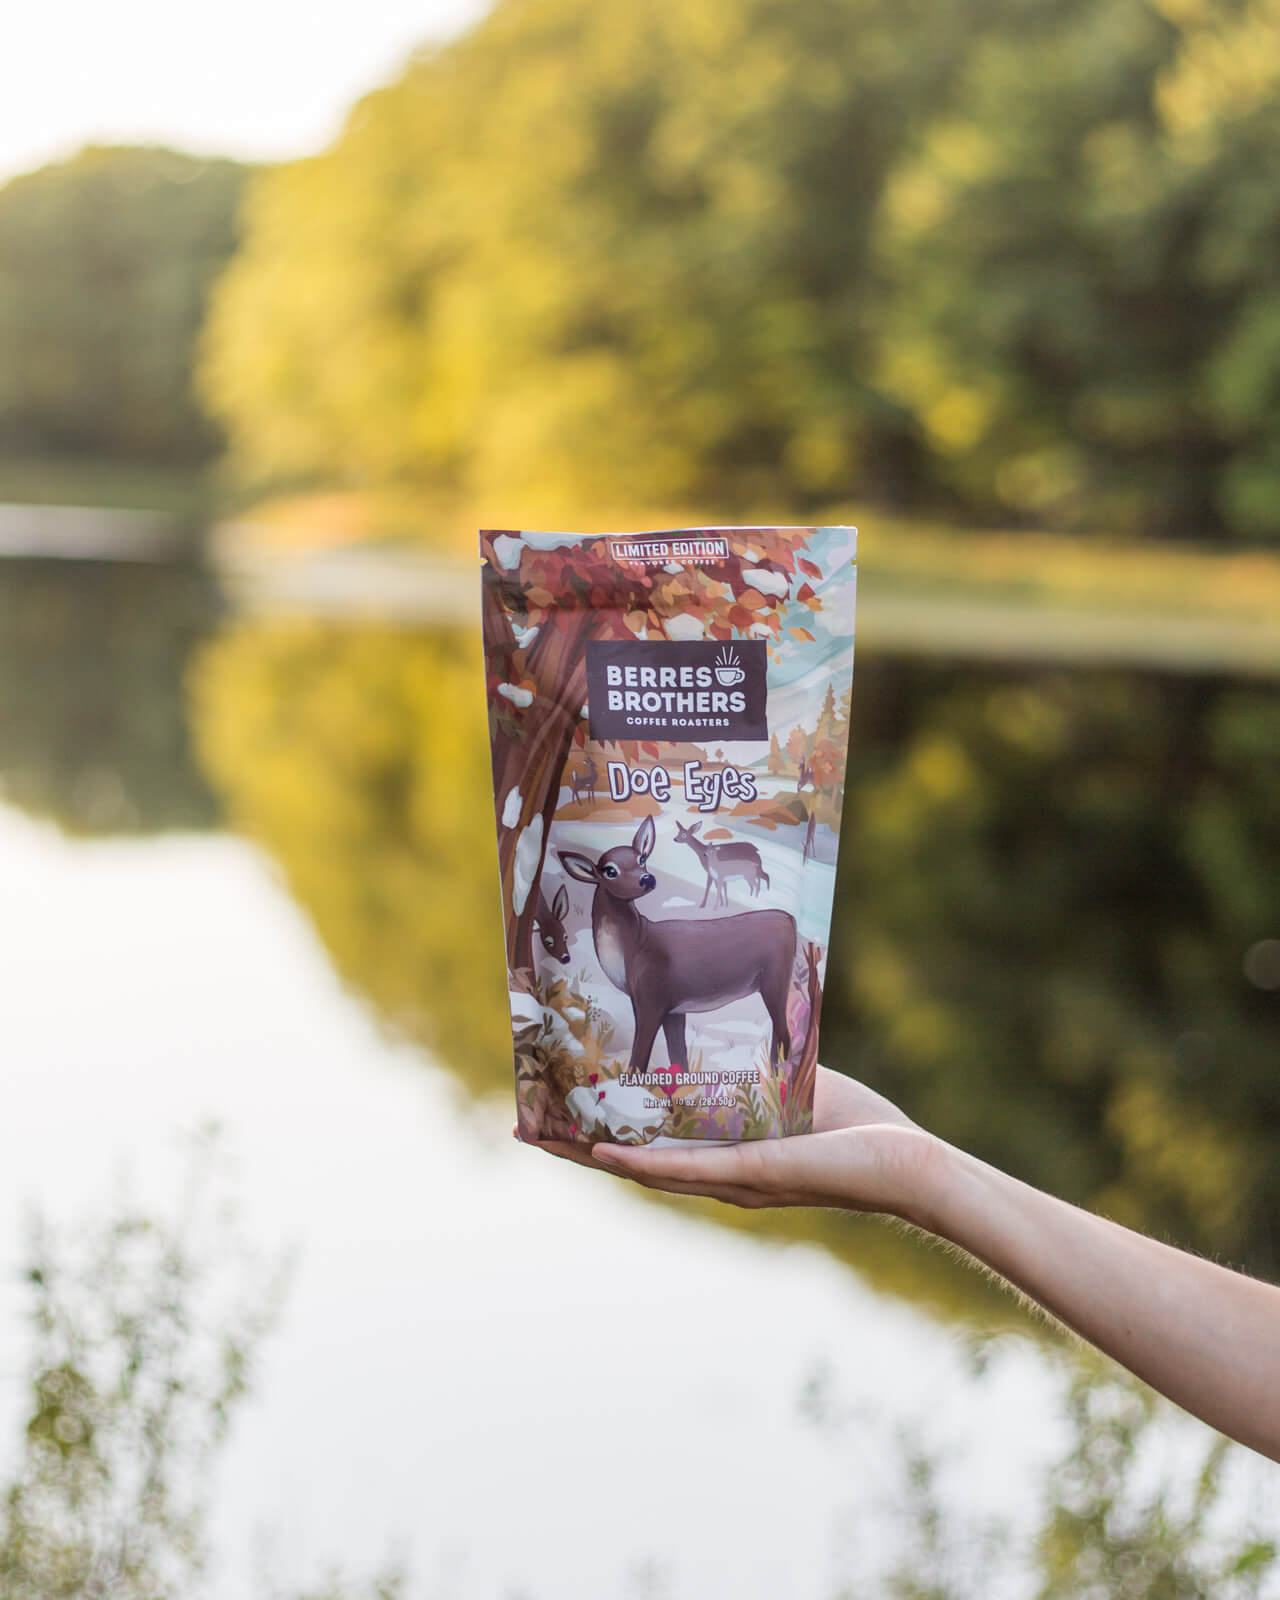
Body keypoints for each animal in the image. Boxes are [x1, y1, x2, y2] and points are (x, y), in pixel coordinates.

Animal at [556, 819, 793, 1068]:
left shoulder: (652, 998)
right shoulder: (671, 1009)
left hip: (775, 978)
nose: (647, 879)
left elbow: (639, 1060)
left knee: (785, 1034)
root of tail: (790, 919)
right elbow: (678, 1056)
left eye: (641, 858)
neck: (635, 946)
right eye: (610, 870)